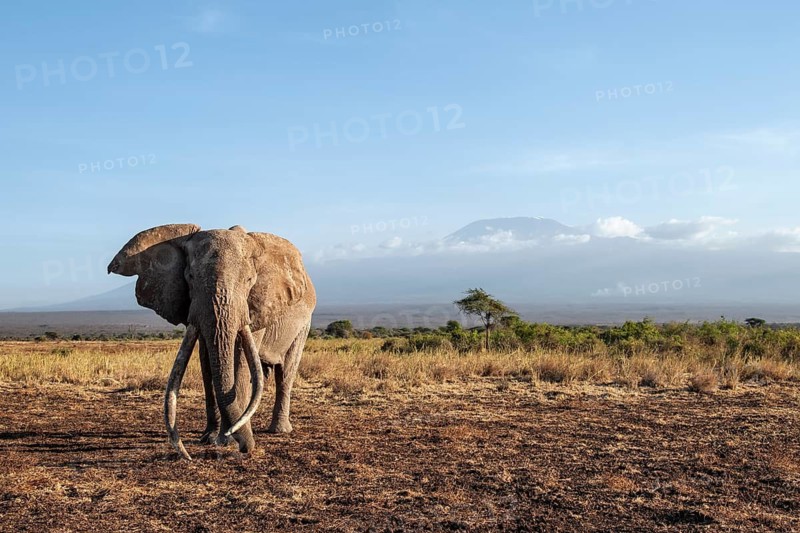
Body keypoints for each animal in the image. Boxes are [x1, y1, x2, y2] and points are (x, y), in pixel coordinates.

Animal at [107, 224, 316, 460]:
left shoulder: (257, 306)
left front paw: (227, 439)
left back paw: (278, 430)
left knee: (286, 371)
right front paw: (212, 438)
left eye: (249, 281)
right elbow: (207, 361)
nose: (246, 448)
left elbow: (240, 363)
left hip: (304, 323)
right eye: (190, 277)